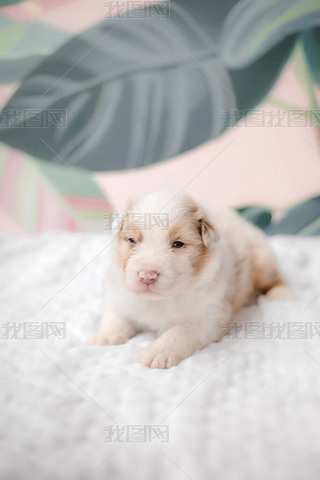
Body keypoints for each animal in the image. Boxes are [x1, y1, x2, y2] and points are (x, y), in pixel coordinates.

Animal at [87, 189, 290, 370]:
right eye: (131, 240)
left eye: (178, 244)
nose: (147, 276)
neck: (159, 300)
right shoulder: (119, 296)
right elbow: (115, 318)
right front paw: (102, 338)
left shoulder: (209, 318)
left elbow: (179, 332)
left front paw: (156, 354)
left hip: (262, 259)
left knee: (275, 280)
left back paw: (280, 294)